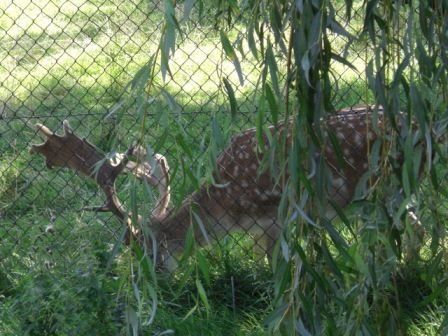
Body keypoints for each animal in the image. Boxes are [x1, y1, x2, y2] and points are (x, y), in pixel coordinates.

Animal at [30, 105, 428, 270]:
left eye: (149, 251)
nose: (154, 283)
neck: (227, 206)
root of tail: (426, 129)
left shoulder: (276, 211)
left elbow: (278, 260)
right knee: (418, 229)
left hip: (382, 190)